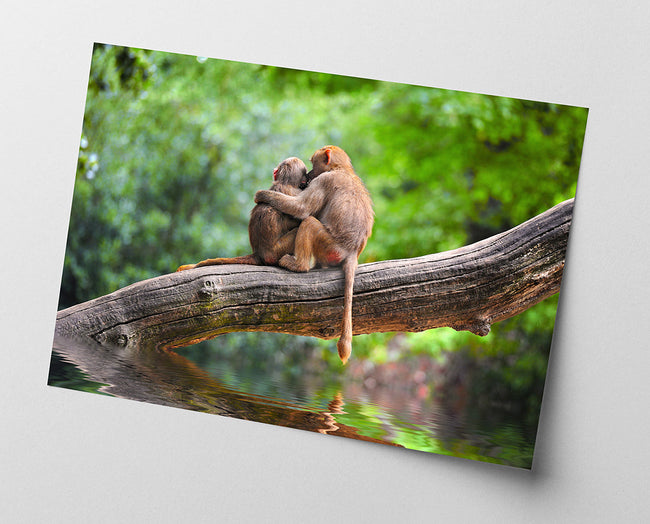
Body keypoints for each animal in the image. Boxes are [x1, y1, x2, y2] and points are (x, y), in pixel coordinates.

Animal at [254, 145, 374, 364]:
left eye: (312, 164)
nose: (309, 175)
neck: (342, 169)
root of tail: (352, 251)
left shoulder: (324, 180)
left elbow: (302, 210)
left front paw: (261, 195)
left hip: (330, 246)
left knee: (309, 222)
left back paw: (298, 265)